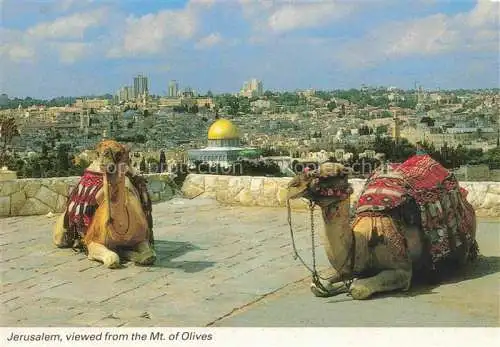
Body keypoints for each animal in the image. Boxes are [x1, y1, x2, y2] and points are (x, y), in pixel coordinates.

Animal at [53, 141, 156, 270]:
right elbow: (113, 258)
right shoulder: (91, 241)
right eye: (98, 152)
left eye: (119, 153)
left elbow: (149, 254)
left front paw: (132, 254)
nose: (104, 159)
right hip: (61, 233)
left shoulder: (141, 238)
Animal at [286, 156, 476, 300]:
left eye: (333, 175)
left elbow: (357, 288)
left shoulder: (402, 270)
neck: (363, 242)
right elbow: (317, 286)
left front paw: (352, 285)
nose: (293, 185)